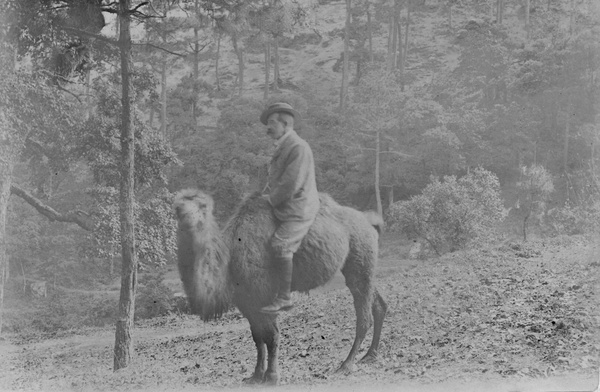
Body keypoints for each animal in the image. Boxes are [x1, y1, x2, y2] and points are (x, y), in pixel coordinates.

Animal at [173, 190, 390, 386]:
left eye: (201, 206)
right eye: (178, 204)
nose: (183, 212)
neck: (230, 259)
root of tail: (370, 222)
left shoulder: (264, 296)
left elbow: (271, 336)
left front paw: (271, 377)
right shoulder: (246, 301)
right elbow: (257, 337)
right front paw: (255, 376)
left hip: (359, 256)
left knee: (364, 316)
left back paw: (346, 364)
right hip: (360, 265)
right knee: (377, 303)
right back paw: (370, 355)